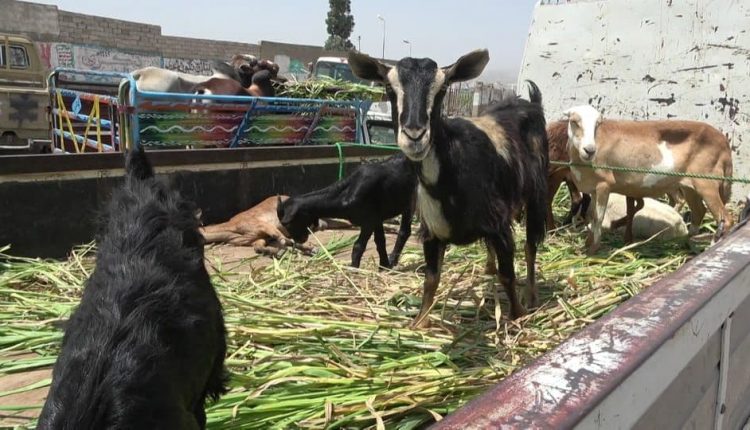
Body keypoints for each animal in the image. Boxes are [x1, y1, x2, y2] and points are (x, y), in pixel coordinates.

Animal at [278, 153, 418, 268]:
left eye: (289, 223)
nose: (299, 240)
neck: (346, 194)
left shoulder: (368, 222)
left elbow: (358, 246)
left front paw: (354, 268)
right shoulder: (376, 218)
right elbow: (380, 241)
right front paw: (384, 266)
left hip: (412, 201)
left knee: (404, 231)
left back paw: (394, 258)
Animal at [352, 49, 552, 326]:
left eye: (443, 88)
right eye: (389, 88)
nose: (415, 135)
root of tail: (529, 101)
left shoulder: (499, 225)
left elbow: (508, 275)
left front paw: (518, 315)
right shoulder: (432, 231)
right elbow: (431, 280)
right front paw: (419, 322)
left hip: (537, 191)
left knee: (531, 245)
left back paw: (531, 295)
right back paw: (489, 269)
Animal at [564, 104, 736, 254]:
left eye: (597, 125)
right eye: (574, 122)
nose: (590, 150)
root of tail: (724, 142)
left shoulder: (604, 184)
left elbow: (598, 218)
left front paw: (593, 250)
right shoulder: (593, 188)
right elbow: (593, 216)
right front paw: (587, 244)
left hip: (707, 183)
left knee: (725, 219)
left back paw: (711, 247)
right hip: (690, 186)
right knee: (699, 212)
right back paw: (685, 243)